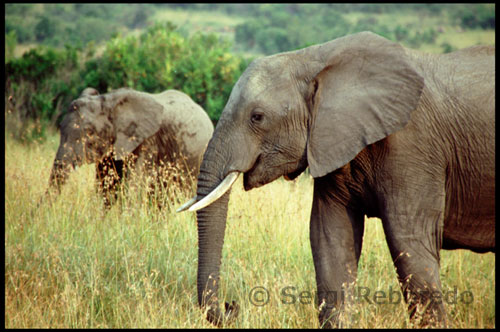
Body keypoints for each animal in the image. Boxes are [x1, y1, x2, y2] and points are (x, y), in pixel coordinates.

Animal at [49, 87, 215, 206]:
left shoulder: (147, 142)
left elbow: (134, 187)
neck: (110, 102)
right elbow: (105, 188)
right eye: (60, 127)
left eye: (89, 132)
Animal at [178, 32, 494, 328]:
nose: (232, 306)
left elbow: (410, 245)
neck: (313, 59)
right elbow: (330, 239)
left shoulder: (414, 148)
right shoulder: (332, 142)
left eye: (257, 117)